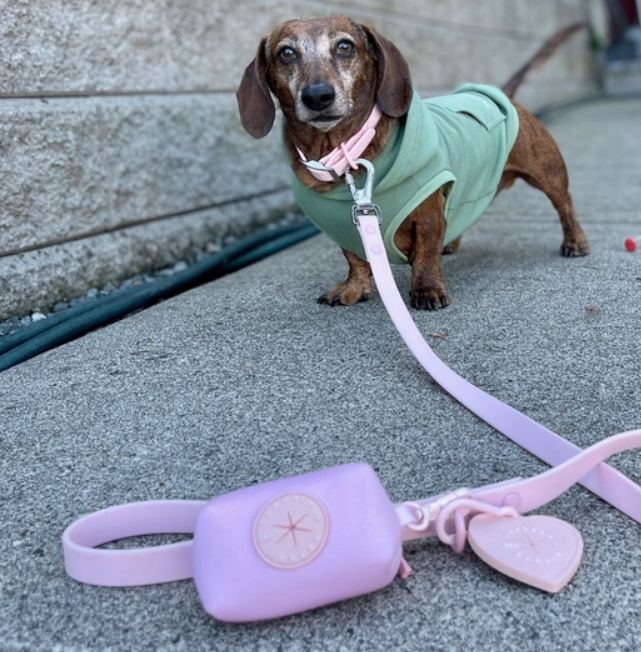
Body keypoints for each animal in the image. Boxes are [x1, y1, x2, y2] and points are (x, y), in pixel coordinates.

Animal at [236, 15, 592, 310]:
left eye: (345, 46)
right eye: (286, 53)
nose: (317, 96)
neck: (344, 156)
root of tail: (499, 95)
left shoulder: (429, 213)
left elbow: (425, 255)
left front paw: (427, 289)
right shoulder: (344, 227)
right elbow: (355, 259)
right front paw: (353, 287)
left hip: (548, 174)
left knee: (565, 204)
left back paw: (574, 241)